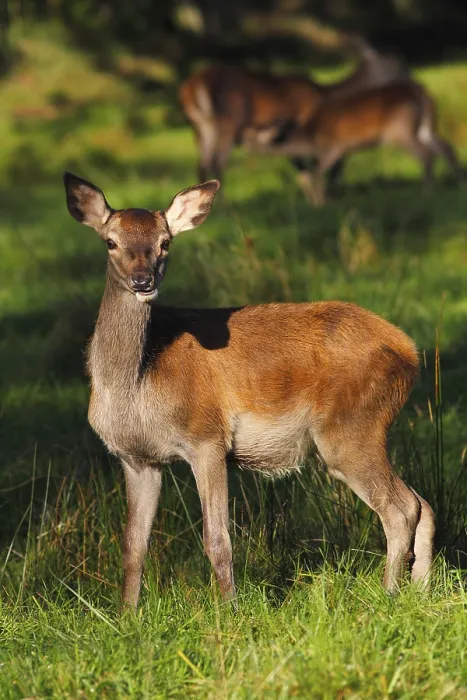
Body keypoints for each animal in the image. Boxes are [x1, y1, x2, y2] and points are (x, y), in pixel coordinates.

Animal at [63, 172, 435, 609]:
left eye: (165, 241)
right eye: (110, 241)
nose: (143, 281)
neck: (136, 386)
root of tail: (410, 352)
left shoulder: (206, 436)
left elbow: (217, 539)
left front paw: (229, 611)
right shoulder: (137, 458)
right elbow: (132, 546)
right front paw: (127, 615)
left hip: (351, 428)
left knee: (401, 508)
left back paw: (389, 593)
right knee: (423, 504)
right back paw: (420, 589)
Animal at [179, 36, 408, 188]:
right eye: (394, 63)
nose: (406, 77)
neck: (325, 93)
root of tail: (193, 85)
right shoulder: (307, 126)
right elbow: (318, 164)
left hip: (199, 127)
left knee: (202, 164)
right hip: (228, 121)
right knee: (218, 163)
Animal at [247, 80, 462, 205]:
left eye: (254, 132)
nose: (242, 139)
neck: (310, 137)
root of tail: (422, 92)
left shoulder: (335, 146)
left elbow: (316, 172)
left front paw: (321, 204)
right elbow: (314, 174)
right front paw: (320, 201)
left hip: (399, 130)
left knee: (427, 154)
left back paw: (427, 192)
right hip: (425, 127)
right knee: (445, 147)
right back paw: (459, 181)